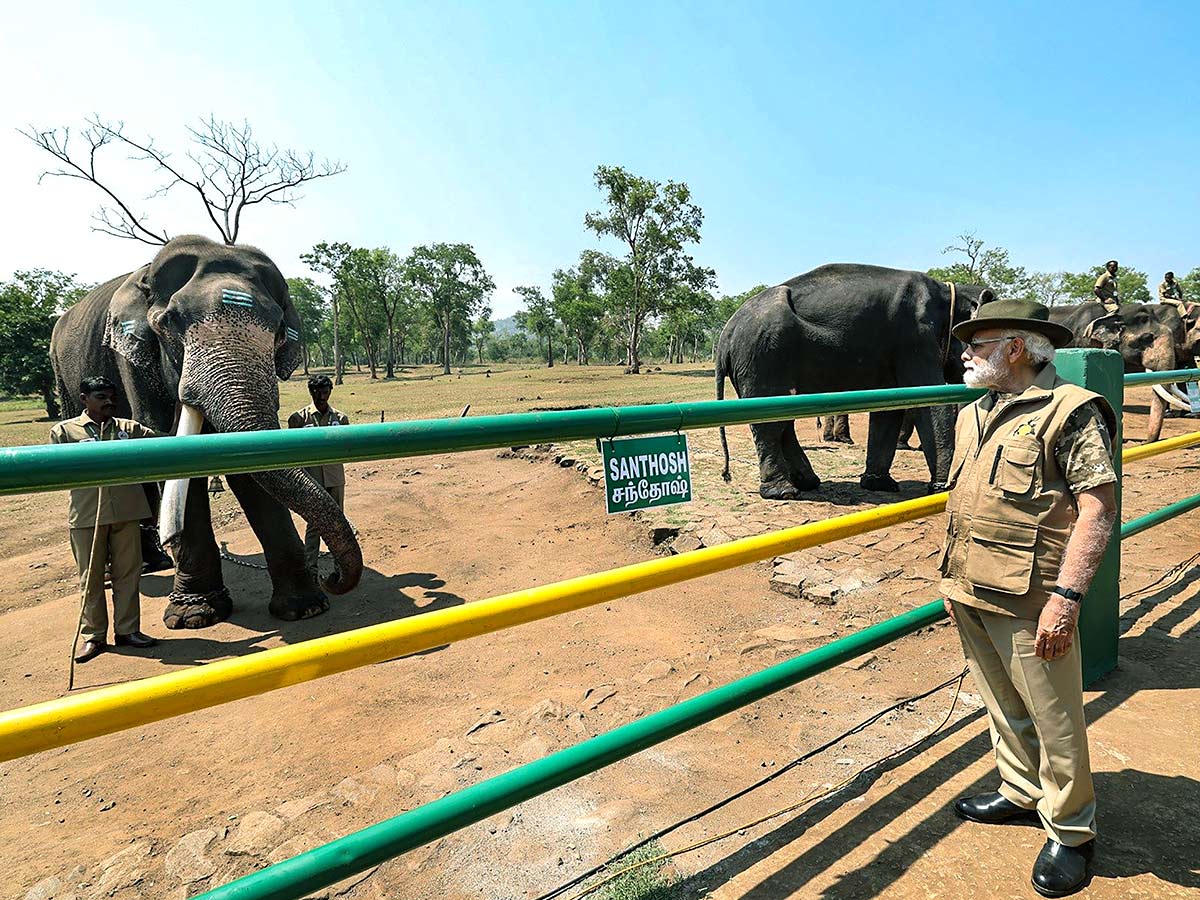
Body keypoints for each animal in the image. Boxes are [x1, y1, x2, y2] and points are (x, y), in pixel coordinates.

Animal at [52, 232, 360, 628]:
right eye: (170, 321)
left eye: (278, 330)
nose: (331, 575)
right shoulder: (133, 361)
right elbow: (169, 451)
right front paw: (193, 615)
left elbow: (250, 466)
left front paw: (304, 607)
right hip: (63, 376)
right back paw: (116, 572)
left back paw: (157, 561)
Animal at [710, 264, 993, 501]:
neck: (950, 291)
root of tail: (726, 333)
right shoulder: (916, 338)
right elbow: (929, 402)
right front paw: (942, 489)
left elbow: (889, 407)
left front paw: (879, 485)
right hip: (763, 353)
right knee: (771, 421)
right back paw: (784, 492)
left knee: (782, 419)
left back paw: (808, 482)